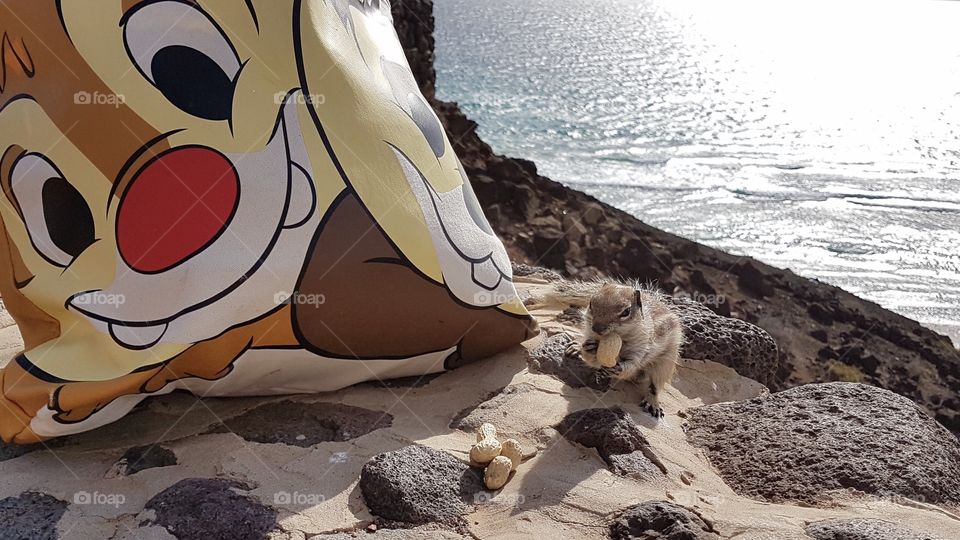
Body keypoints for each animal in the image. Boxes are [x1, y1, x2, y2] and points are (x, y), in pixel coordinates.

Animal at [528, 279, 683, 418]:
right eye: (591, 303)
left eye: (626, 312)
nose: (597, 328)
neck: (620, 339)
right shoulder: (591, 334)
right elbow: (592, 358)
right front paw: (587, 348)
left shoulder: (641, 348)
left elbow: (632, 366)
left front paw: (619, 368)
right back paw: (576, 345)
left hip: (666, 362)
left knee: (655, 385)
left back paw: (653, 403)